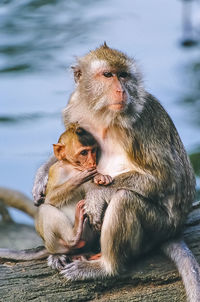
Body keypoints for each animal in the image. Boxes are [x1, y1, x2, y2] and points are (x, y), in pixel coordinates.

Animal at [32, 43, 200, 302]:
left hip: (159, 226)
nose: (121, 90)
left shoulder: (141, 122)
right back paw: (63, 250)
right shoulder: (73, 108)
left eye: (124, 75)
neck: (102, 115)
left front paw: (96, 195)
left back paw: (106, 267)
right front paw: (41, 177)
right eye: (108, 75)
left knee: (124, 199)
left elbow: (166, 177)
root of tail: (174, 229)